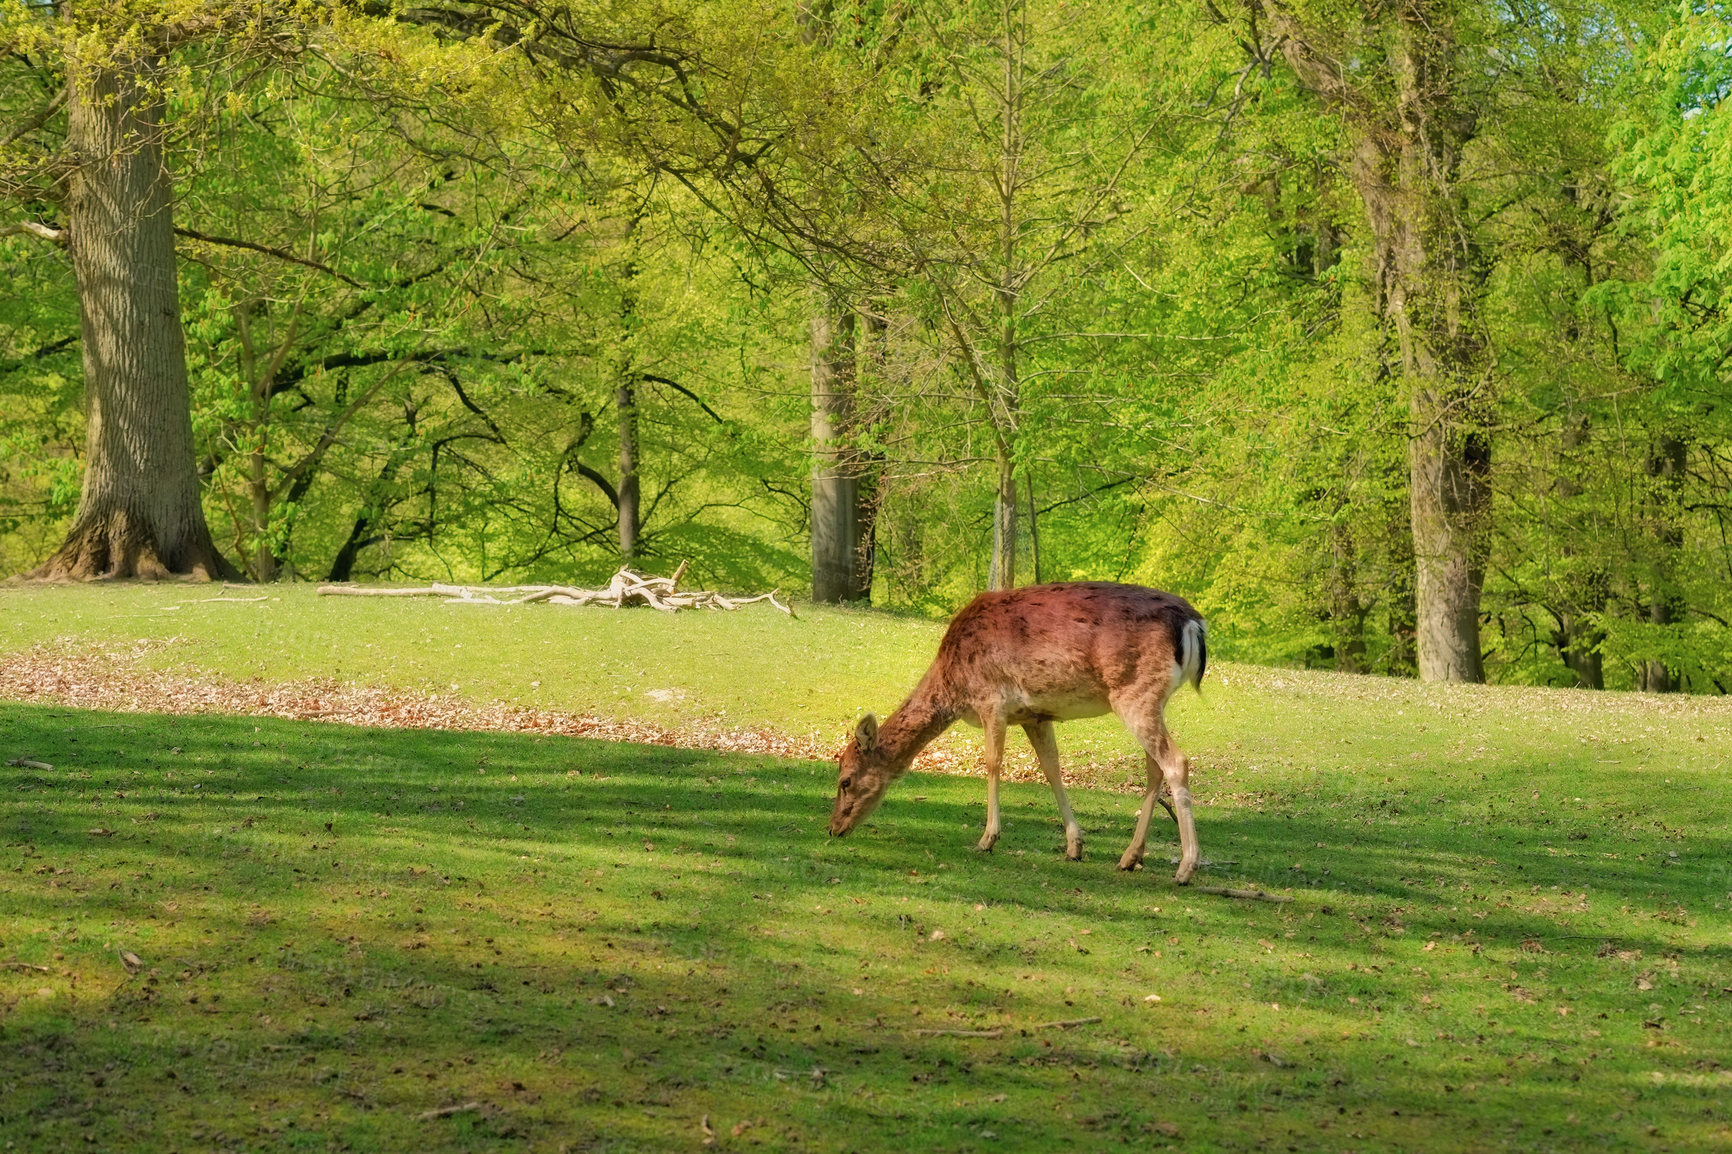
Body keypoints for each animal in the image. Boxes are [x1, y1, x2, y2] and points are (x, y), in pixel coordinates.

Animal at [824, 575, 1205, 880]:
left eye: (845, 781)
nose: (833, 828)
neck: (953, 681)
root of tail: (1193, 624)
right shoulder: (1034, 716)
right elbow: (1051, 769)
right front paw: (1074, 846)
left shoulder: (992, 700)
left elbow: (993, 764)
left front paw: (987, 839)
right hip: (1151, 699)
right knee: (1154, 768)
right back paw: (1129, 857)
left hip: (1134, 692)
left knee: (1176, 762)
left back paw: (1186, 868)